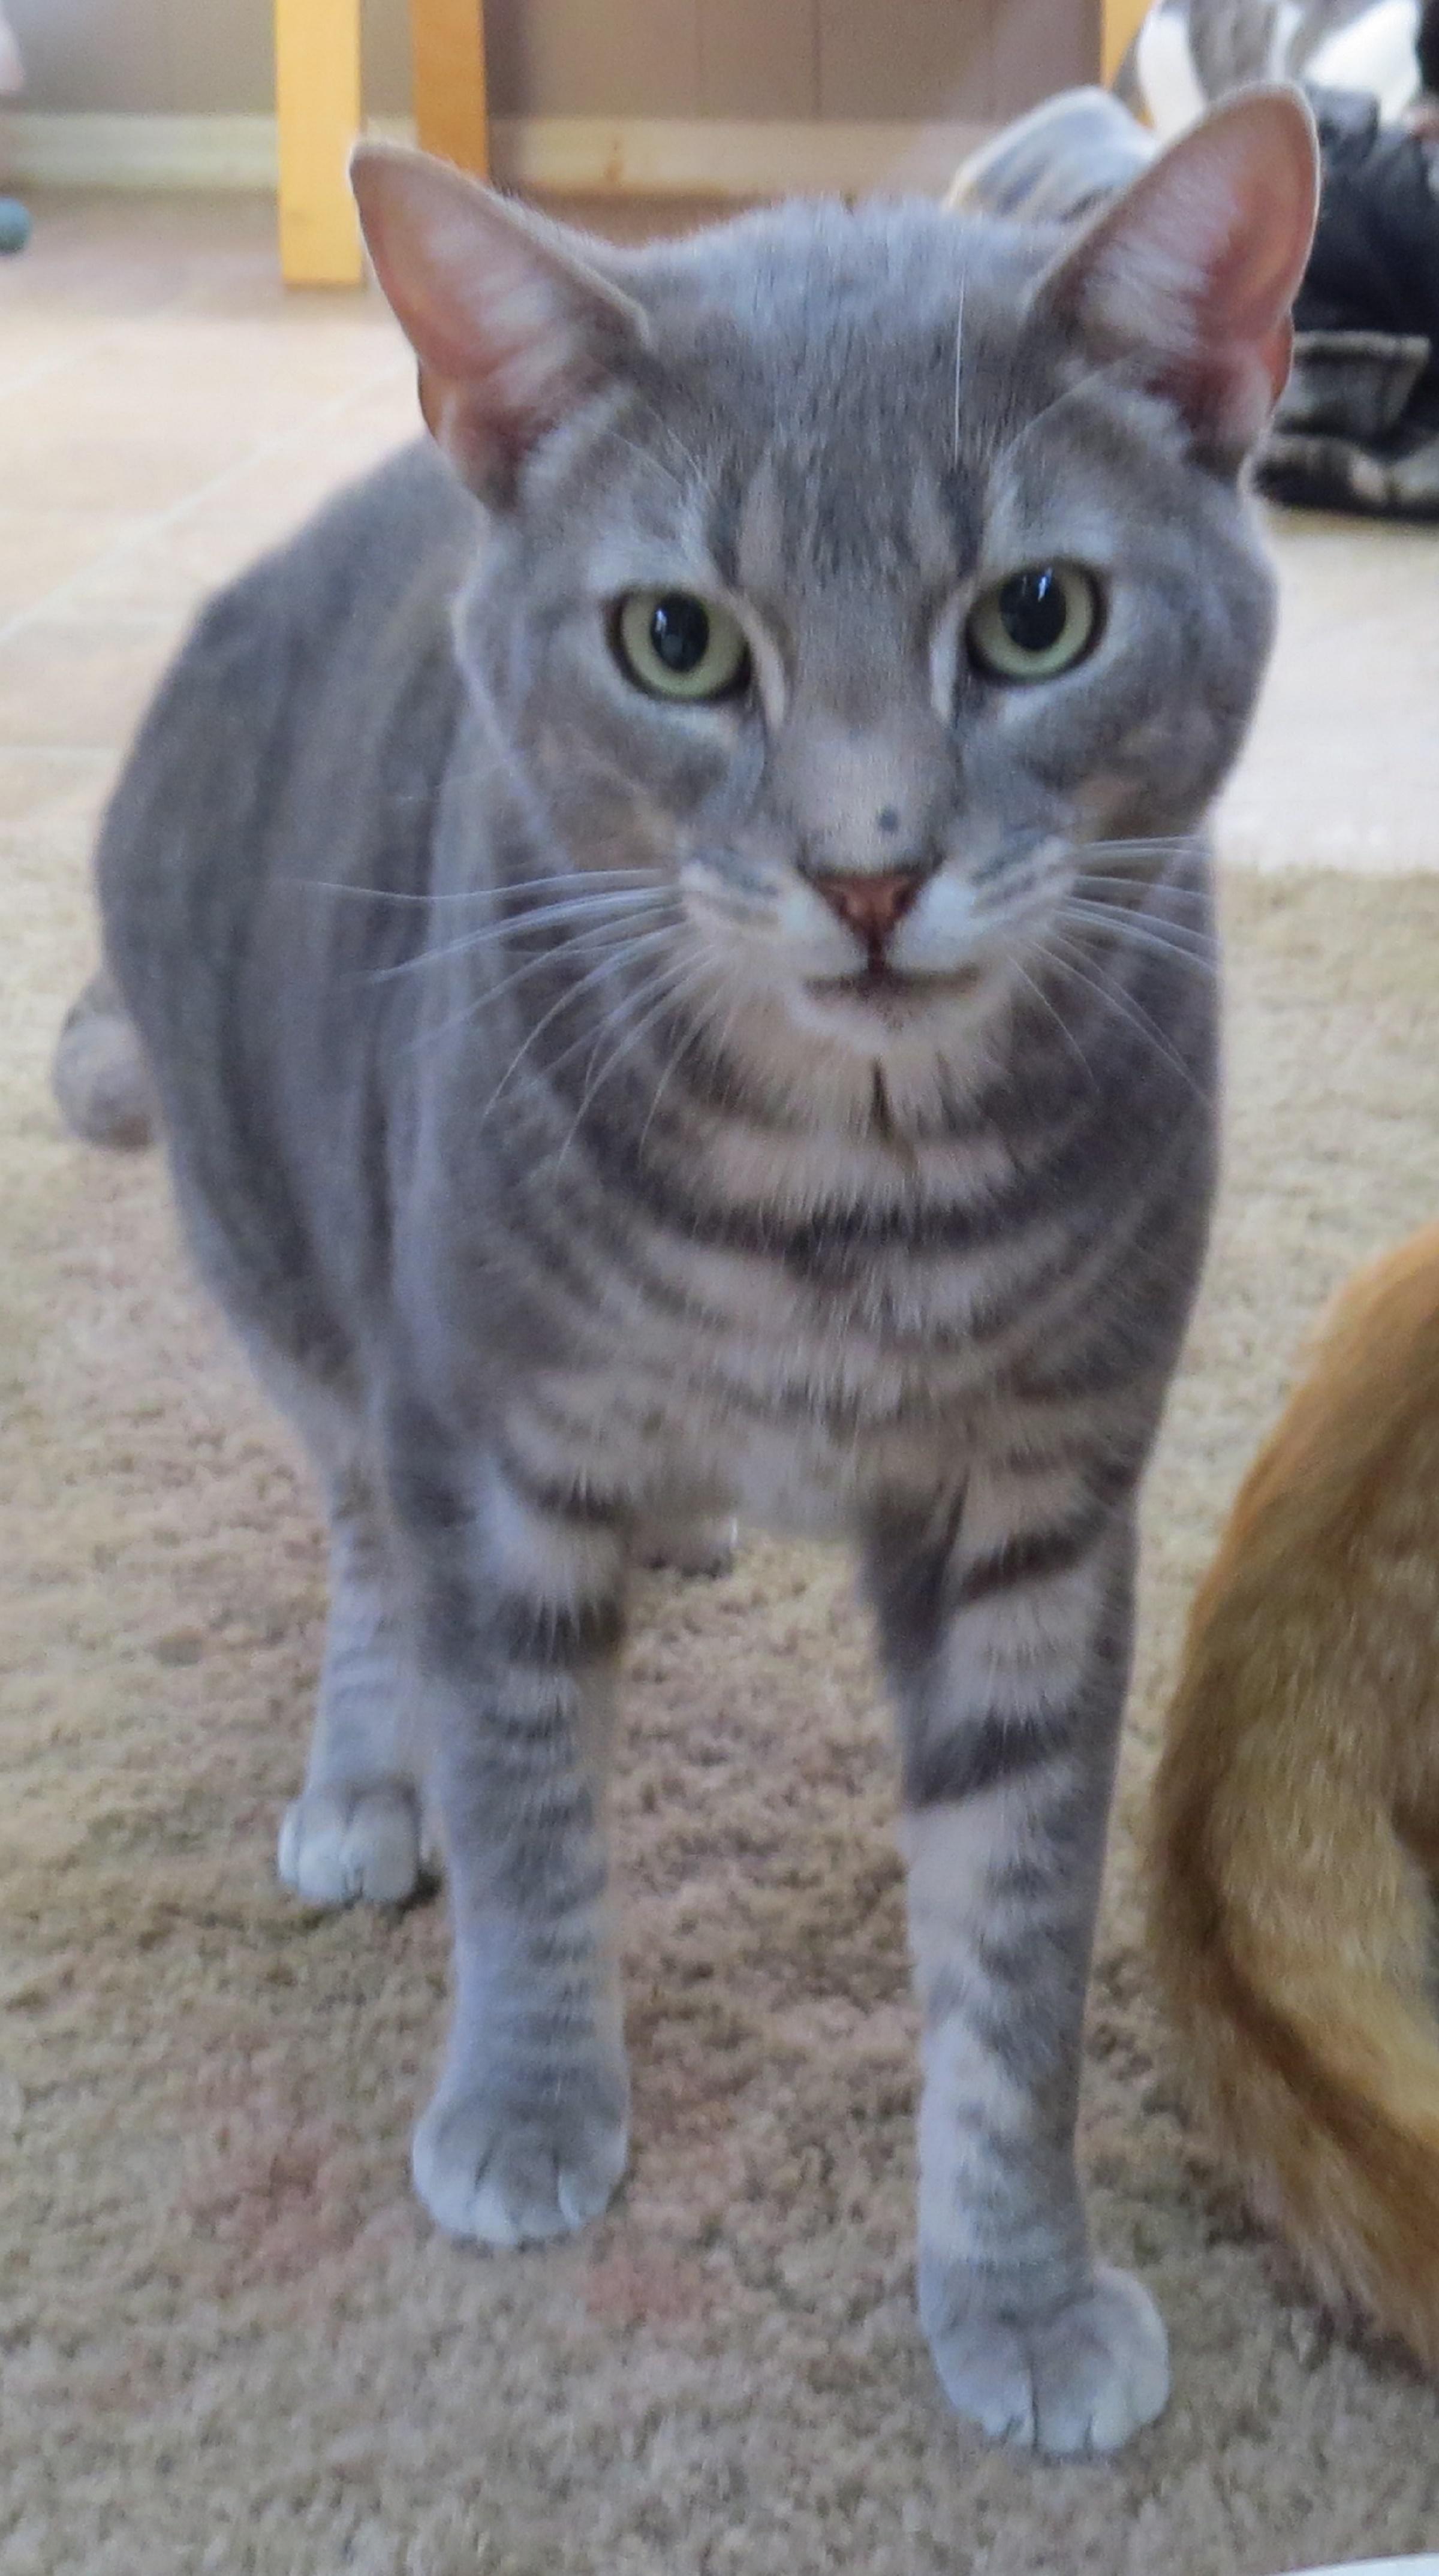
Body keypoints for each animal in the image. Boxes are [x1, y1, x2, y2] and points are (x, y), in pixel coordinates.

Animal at [70, 85, 1328, 2452]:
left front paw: (1014, 2279)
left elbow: (1012, 1928)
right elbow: (530, 1812)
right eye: (678, 640)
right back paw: (366, 1774)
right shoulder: (490, 1448)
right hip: (290, 1268)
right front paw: (526, 2097)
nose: (867, 870)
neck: (834, 1206)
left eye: (1035, 616)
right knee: (364, 1546)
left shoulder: (1040, 1508)